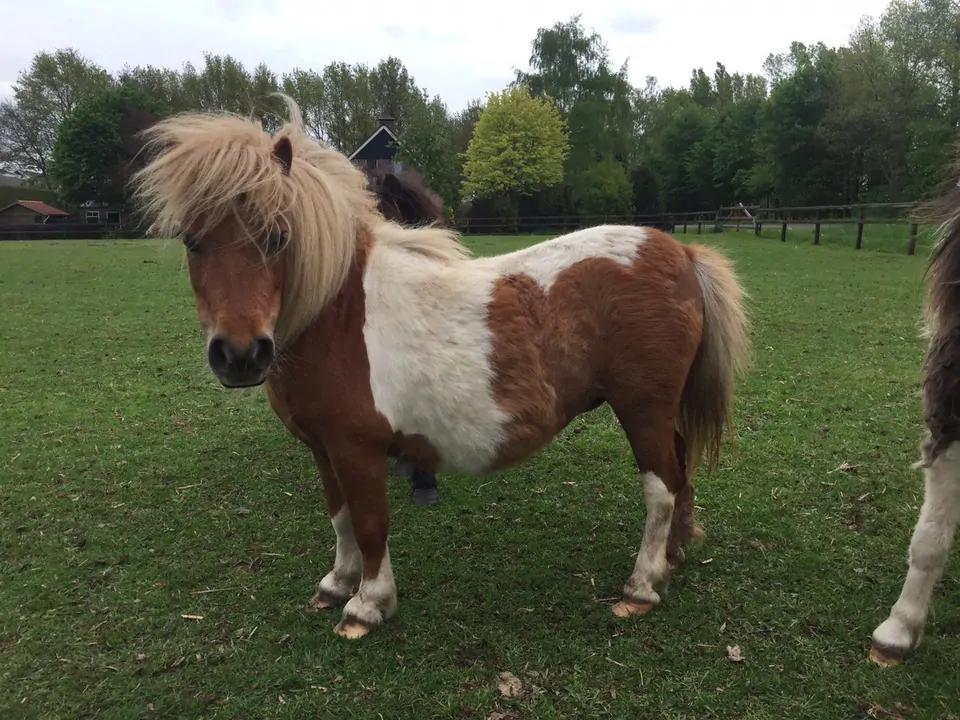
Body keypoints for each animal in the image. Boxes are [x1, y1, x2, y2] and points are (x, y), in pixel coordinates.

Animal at [130, 95, 751, 639]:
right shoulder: (324, 449)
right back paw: (673, 556)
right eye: (192, 241)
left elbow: (371, 522)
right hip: (661, 412)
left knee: (661, 488)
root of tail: (680, 252)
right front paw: (337, 583)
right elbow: (340, 517)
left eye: (279, 237)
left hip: (642, 409)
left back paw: (641, 586)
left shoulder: (357, 449)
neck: (338, 313)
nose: (239, 355)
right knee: (680, 472)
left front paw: (368, 605)